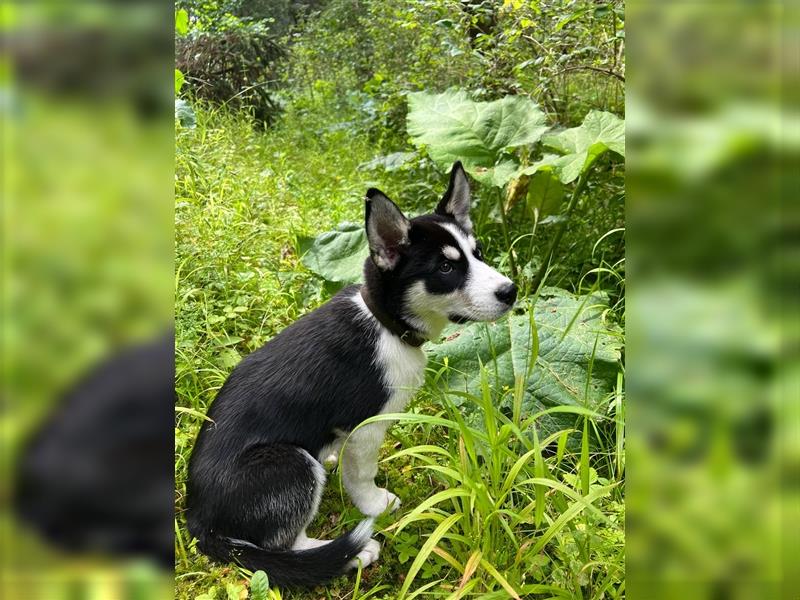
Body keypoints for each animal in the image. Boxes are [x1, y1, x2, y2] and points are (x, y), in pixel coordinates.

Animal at [185, 163, 516, 584]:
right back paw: (350, 554)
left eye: (478, 254)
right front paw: (374, 504)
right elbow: (362, 475)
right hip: (292, 464)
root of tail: (198, 522)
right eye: (445, 267)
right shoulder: (365, 426)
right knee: (281, 547)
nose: (511, 291)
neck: (385, 324)